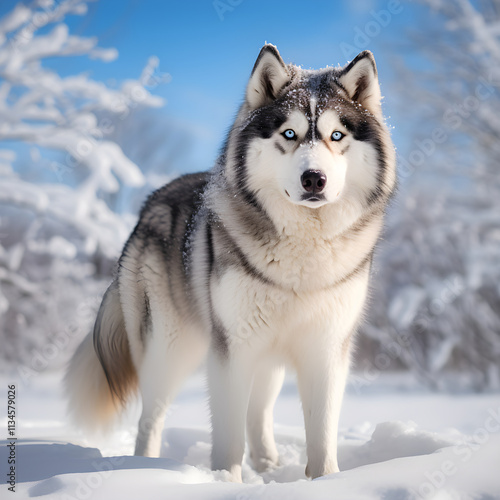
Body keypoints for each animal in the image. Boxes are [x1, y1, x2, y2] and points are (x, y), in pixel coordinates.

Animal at [65, 45, 394, 482]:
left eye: (336, 135)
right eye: (289, 134)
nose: (314, 179)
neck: (303, 251)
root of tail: (150, 202)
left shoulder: (326, 348)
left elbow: (322, 435)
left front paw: (324, 481)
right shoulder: (232, 348)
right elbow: (228, 434)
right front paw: (226, 481)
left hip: (265, 358)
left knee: (258, 411)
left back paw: (269, 464)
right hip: (170, 350)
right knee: (151, 418)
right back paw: (143, 468)